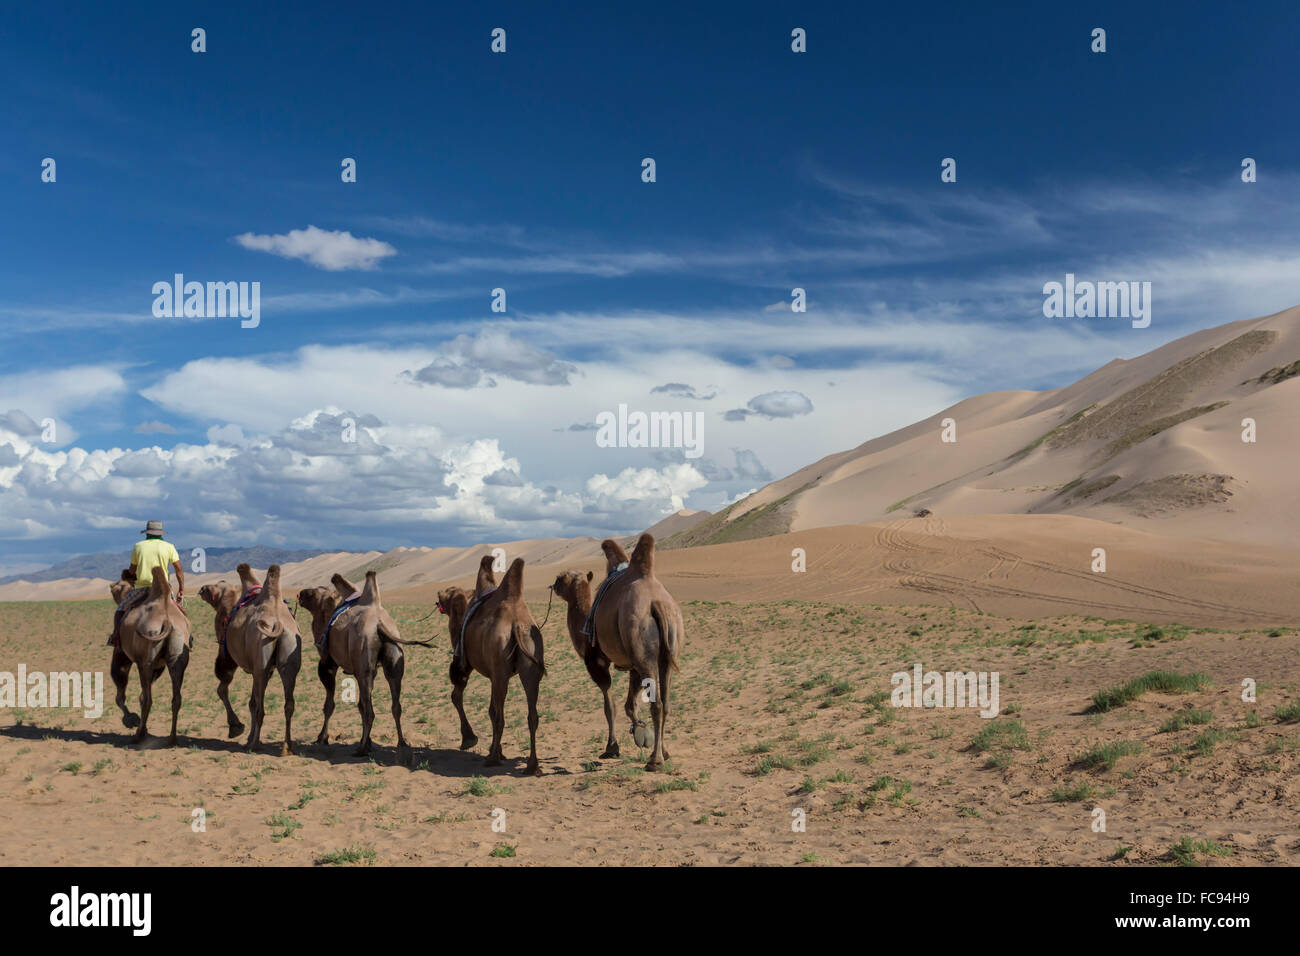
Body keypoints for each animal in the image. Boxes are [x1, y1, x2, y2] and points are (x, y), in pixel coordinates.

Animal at [108, 564, 192, 743]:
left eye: (116, 588)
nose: (112, 587)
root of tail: (167, 620)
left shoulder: (121, 653)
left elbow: (120, 690)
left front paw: (130, 720)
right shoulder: (159, 666)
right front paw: (141, 724)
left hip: (145, 662)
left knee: (148, 699)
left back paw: (138, 736)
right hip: (177, 656)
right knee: (176, 698)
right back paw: (172, 737)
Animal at [224, 561, 305, 754]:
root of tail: (277, 624)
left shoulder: (256, 668)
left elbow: (253, 703)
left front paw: (248, 738)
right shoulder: (266, 670)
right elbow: (252, 702)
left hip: (261, 660)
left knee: (260, 707)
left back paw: (254, 745)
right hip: (290, 655)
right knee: (289, 703)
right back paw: (286, 747)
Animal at [297, 567, 434, 764]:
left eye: (314, 593)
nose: (300, 594)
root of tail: (379, 624)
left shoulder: (328, 664)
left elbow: (330, 705)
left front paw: (322, 738)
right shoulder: (364, 670)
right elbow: (361, 704)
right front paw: (367, 741)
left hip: (364, 663)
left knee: (370, 711)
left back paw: (361, 750)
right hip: (393, 661)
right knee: (395, 705)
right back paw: (401, 743)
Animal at [434, 556, 540, 775]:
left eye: (449, 591)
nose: (438, 594)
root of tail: (517, 625)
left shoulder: (463, 661)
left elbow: (457, 696)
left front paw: (470, 739)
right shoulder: (493, 673)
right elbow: (490, 709)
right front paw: (496, 749)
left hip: (500, 670)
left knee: (499, 715)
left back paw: (492, 760)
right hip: (530, 661)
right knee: (532, 714)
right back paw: (532, 766)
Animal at [582, 535, 686, 775]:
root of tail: (657, 603)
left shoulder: (598, 657)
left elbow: (612, 702)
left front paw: (612, 748)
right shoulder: (633, 664)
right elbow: (630, 703)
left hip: (643, 652)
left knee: (656, 704)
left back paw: (655, 760)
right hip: (668, 653)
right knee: (666, 703)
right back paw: (663, 753)